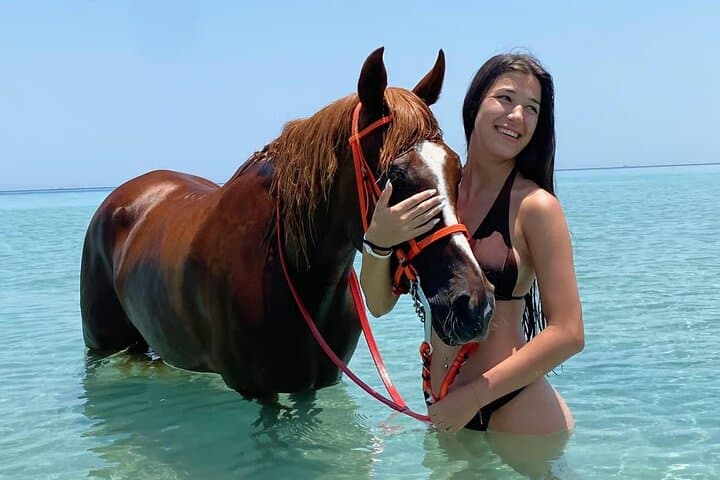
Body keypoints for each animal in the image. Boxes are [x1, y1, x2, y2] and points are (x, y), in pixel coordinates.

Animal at [80, 48, 495, 402]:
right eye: (396, 175)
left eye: (456, 169)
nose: (474, 304)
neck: (296, 274)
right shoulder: (256, 391)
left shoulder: (315, 384)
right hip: (100, 345)